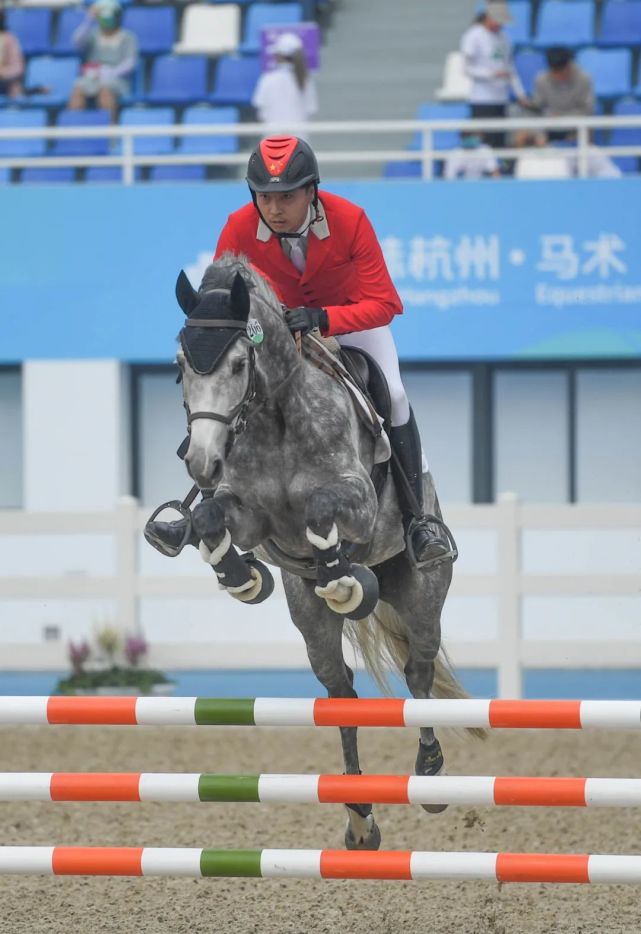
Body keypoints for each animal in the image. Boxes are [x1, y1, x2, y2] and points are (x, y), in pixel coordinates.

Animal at [151, 252, 470, 852]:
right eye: (180, 366)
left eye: (237, 364)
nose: (201, 463)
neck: (274, 412)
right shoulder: (251, 516)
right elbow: (210, 518)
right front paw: (243, 577)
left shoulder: (358, 502)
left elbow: (322, 508)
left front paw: (345, 581)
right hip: (308, 617)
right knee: (340, 691)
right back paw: (360, 817)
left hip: (421, 593)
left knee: (418, 672)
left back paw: (432, 776)